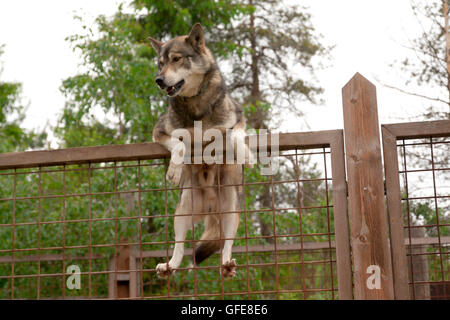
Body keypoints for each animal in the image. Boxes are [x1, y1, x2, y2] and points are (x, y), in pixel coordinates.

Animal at [149, 23, 251, 278]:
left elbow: (235, 135)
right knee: (179, 246)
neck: (194, 103)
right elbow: (179, 142)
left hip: (230, 212)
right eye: (160, 63)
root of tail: (210, 208)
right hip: (182, 213)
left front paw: (246, 154)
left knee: (226, 245)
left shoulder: (238, 115)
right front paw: (174, 171)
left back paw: (227, 266)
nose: (158, 80)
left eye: (176, 59)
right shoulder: (159, 130)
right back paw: (168, 267)